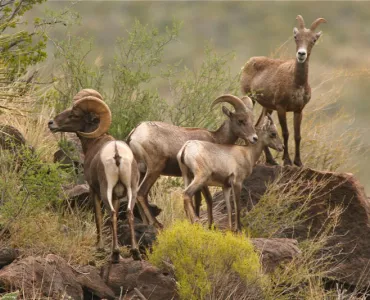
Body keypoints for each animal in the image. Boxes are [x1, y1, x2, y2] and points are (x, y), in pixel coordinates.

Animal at [48, 88, 141, 262]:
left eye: (74, 114)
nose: (51, 123)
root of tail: (117, 154)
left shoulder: (93, 190)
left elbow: (98, 216)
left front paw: (100, 247)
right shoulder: (117, 196)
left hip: (106, 190)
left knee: (111, 214)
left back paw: (115, 254)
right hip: (132, 190)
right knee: (128, 214)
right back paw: (135, 252)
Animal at [127, 94, 258, 227]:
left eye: (252, 120)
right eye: (240, 120)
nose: (254, 138)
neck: (216, 138)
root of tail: (134, 134)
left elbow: (198, 200)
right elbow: (207, 199)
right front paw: (209, 225)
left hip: (141, 172)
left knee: (135, 194)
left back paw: (145, 223)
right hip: (154, 169)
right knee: (141, 193)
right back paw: (157, 225)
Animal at [241, 14, 326, 166]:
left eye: (313, 40)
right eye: (296, 37)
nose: (301, 54)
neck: (297, 83)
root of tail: (249, 61)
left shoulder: (298, 110)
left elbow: (297, 135)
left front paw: (298, 162)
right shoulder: (281, 108)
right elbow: (286, 132)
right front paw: (287, 161)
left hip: (267, 108)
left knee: (258, 126)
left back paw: (271, 160)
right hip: (250, 98)